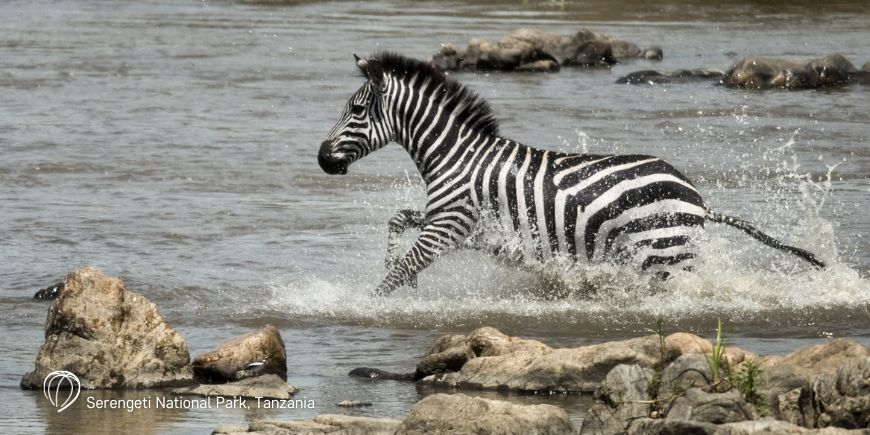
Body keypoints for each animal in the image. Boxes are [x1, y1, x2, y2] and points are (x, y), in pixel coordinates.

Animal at [317, 52, 826, 296]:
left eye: (357, 111)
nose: (322, 159)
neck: (456, 155)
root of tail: (698, 198)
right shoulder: (462, 225)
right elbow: (397, 224)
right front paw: (399, 277)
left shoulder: (449, 224)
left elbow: (401, 266)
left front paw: (370, 304)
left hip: (663, 253)